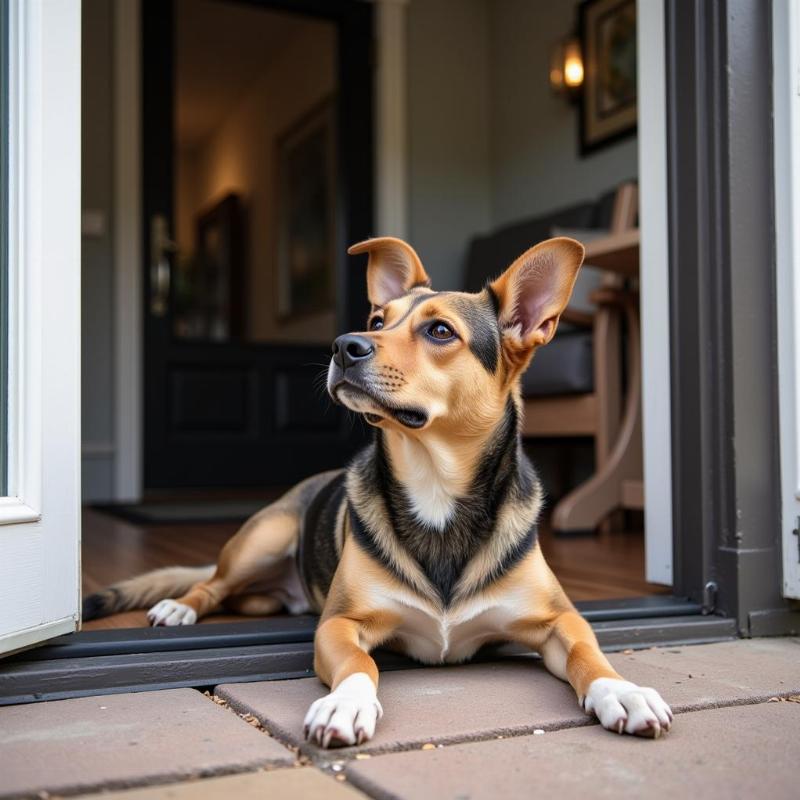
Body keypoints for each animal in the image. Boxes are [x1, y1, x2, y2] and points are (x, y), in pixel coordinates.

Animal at [84, 236, 672, 744]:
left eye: (440, 332)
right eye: (375, 321)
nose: (344, 345)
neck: (436, 486)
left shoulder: (560, 619)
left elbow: (587, 653)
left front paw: (621, 689)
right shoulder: (340, 625)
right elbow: (359, 663)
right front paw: (346, 703)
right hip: (263, 537)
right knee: (210, 585)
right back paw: (179, 608)